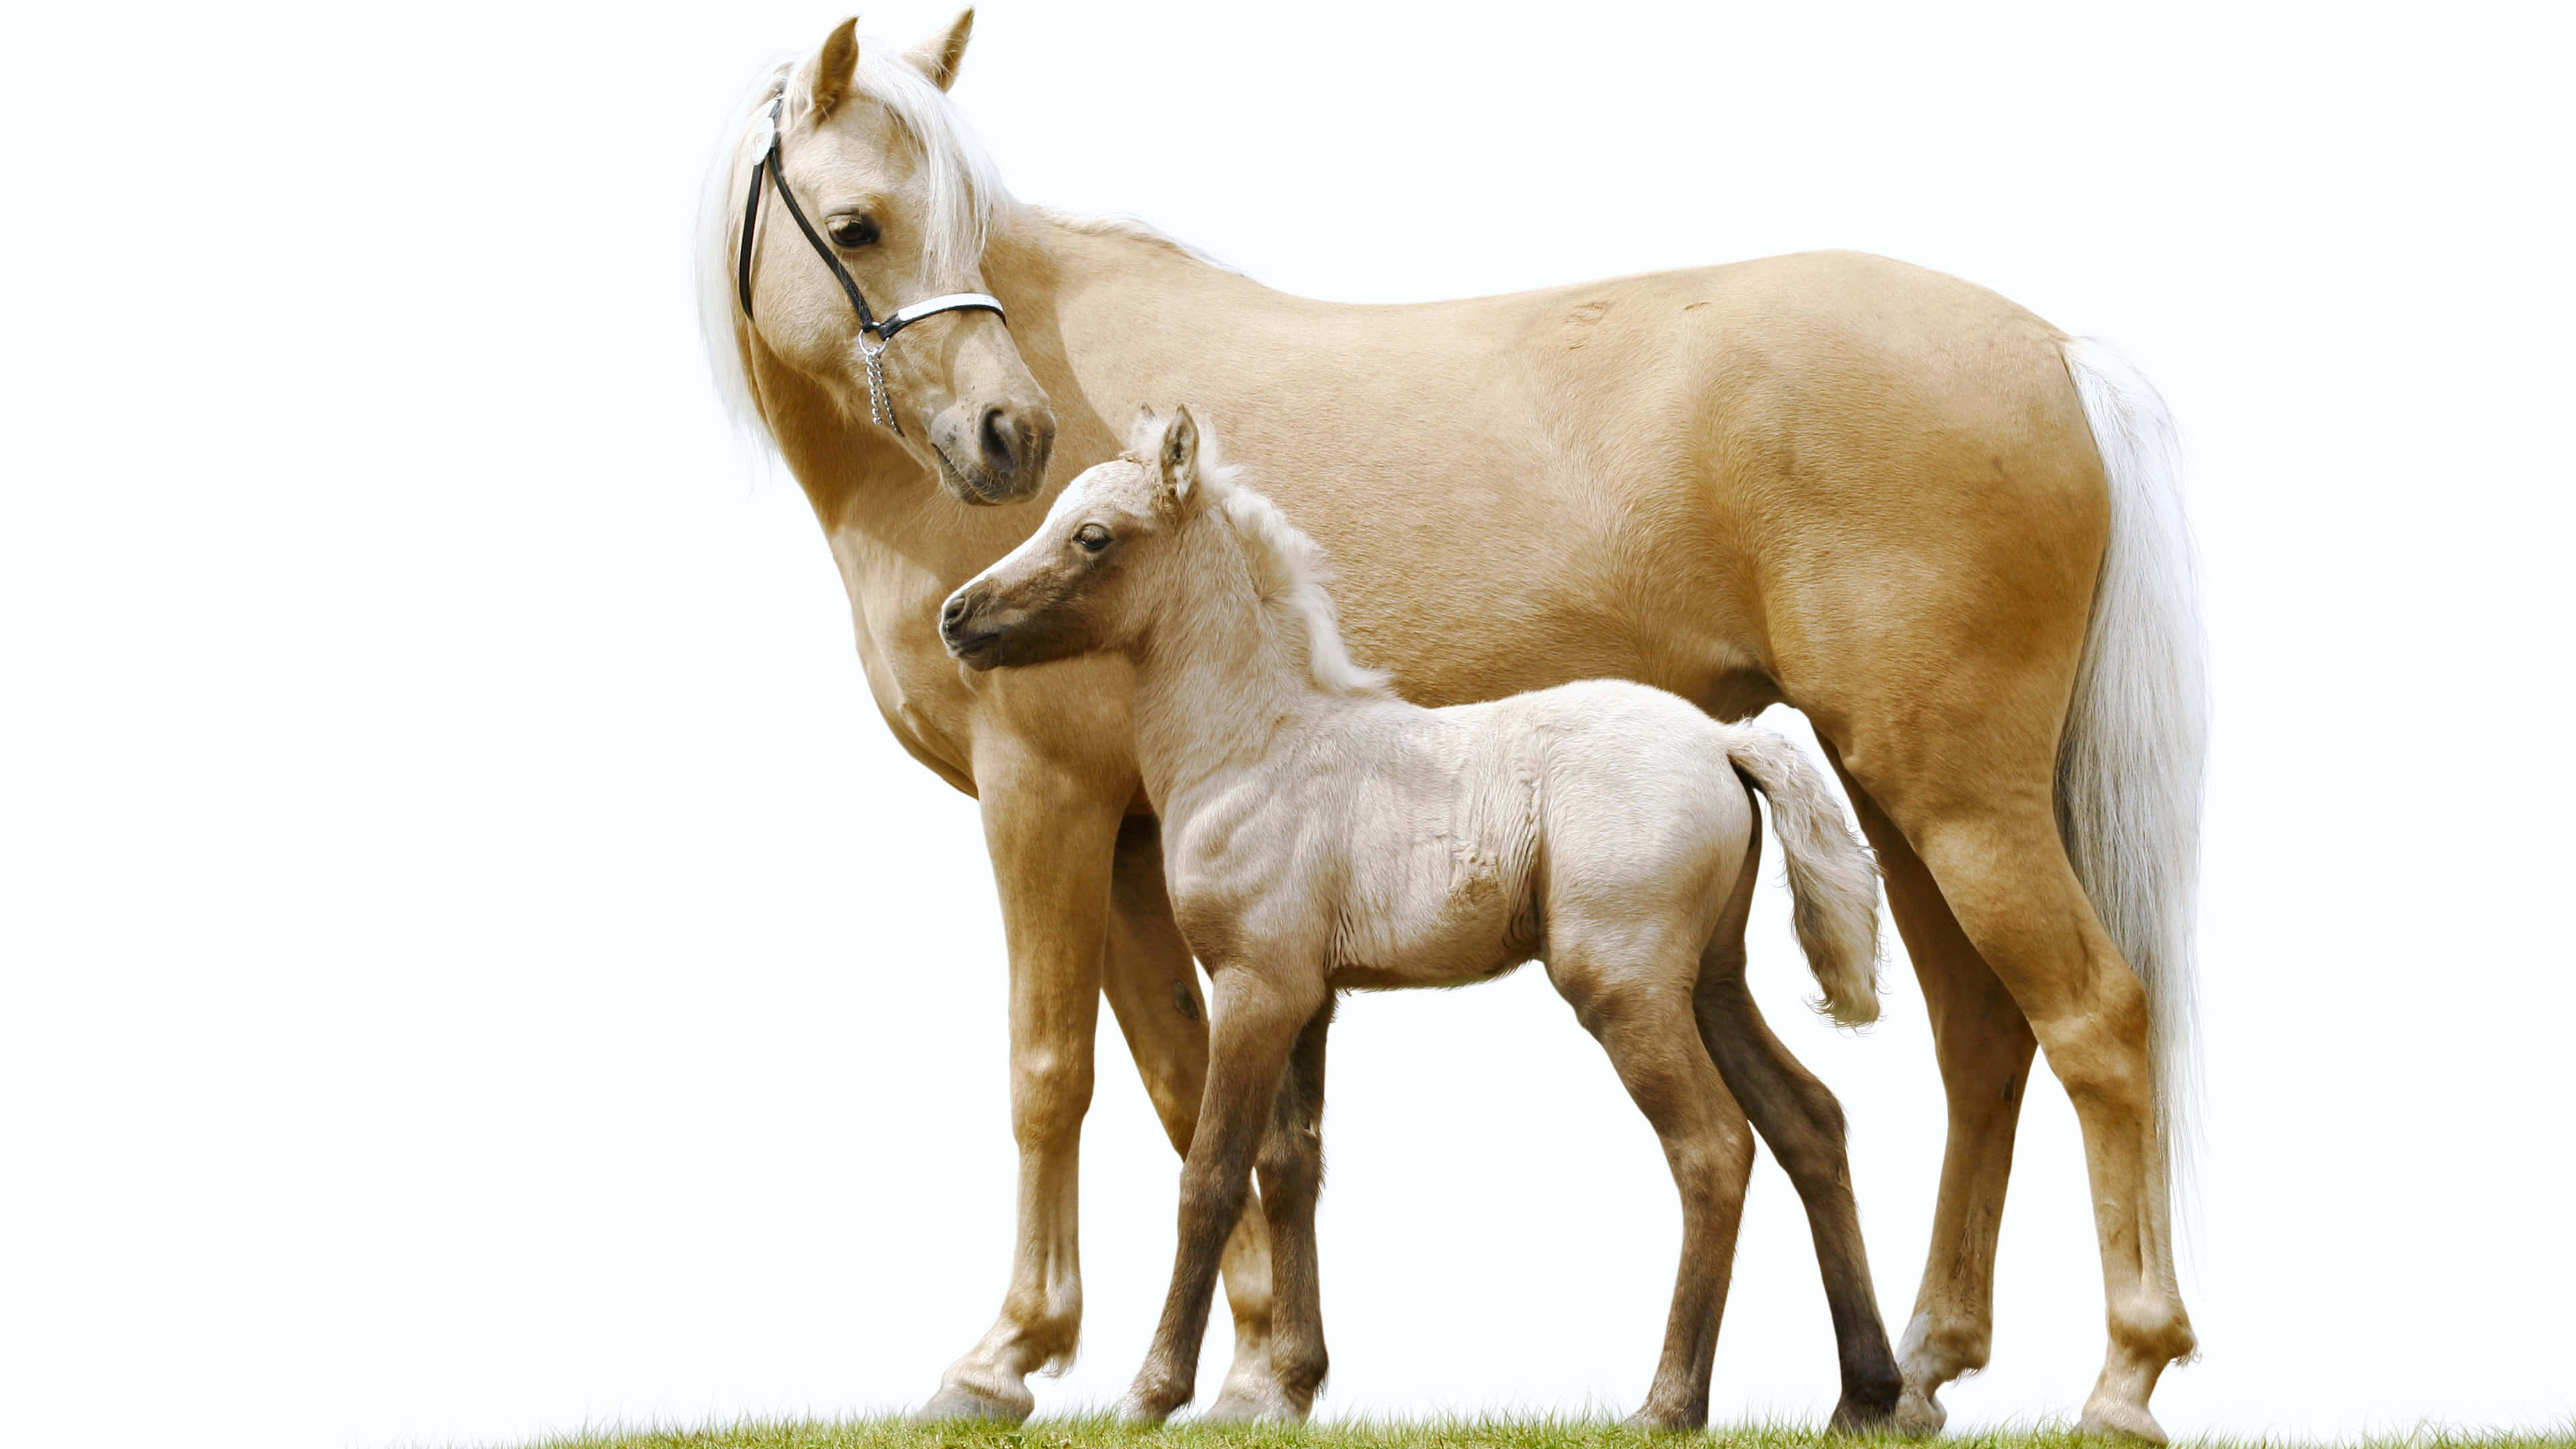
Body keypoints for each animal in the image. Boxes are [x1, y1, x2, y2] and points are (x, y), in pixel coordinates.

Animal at [940, 406, 1898, 1428]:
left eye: (1092, 536)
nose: (957, 615)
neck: (1257, 747)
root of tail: (1724, 740)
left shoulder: (1255, 986)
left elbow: (1212, 1170)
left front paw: (1154, 1392)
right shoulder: (1308, 1000)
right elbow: (1290, 1163)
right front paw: (1288, 1386)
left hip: (1626, 989)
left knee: (1714, 1149)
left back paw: (1668, 1404)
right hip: (1711, 983)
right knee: (1809, 1120)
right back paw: (1868, 1394)